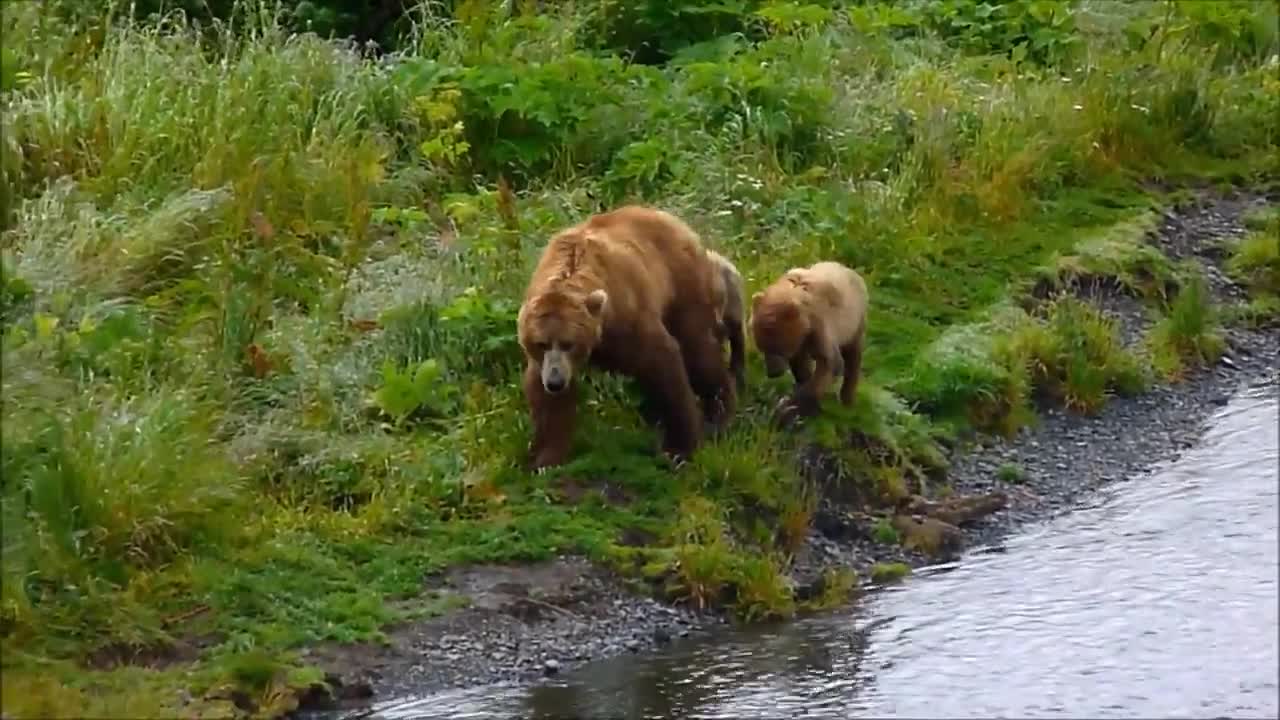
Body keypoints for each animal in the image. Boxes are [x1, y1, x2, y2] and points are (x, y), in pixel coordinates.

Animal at [514, 204, 737, 468]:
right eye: (541, 344)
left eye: (569, 343)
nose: (555, 382)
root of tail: (670, 218)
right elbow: (548, 404)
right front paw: (544, 458)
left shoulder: (627, 318)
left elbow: (663, 365)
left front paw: (680, 447)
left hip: (682, 284)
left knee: (698, 348)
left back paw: (719, 411)